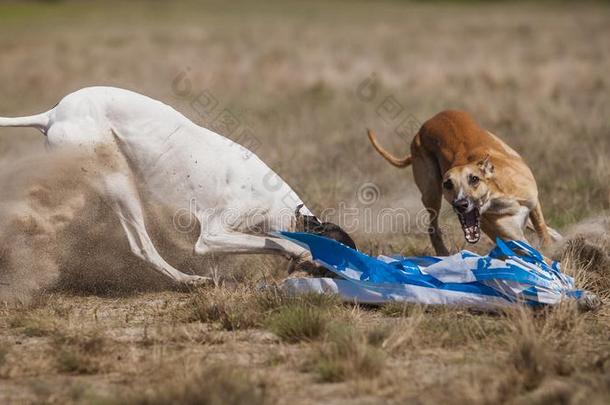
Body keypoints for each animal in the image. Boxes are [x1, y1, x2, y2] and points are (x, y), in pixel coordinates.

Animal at [0, 87, 354, 286]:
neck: (282, 204)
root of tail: (51, 115)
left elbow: (267, 243)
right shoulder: (211, 236)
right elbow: (279, 243)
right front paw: (303, 253)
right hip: (117, 179)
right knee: (141, 245)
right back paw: (186, 280)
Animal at [366, 109, 560, 254]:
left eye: (474, 179)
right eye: (448, 184)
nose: (461, 204)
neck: (498, 195)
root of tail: (425, 126)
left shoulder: (533, 203)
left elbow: (542, 230)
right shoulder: (513, 239)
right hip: (431, 193)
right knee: (432, 228)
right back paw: (443, 253)